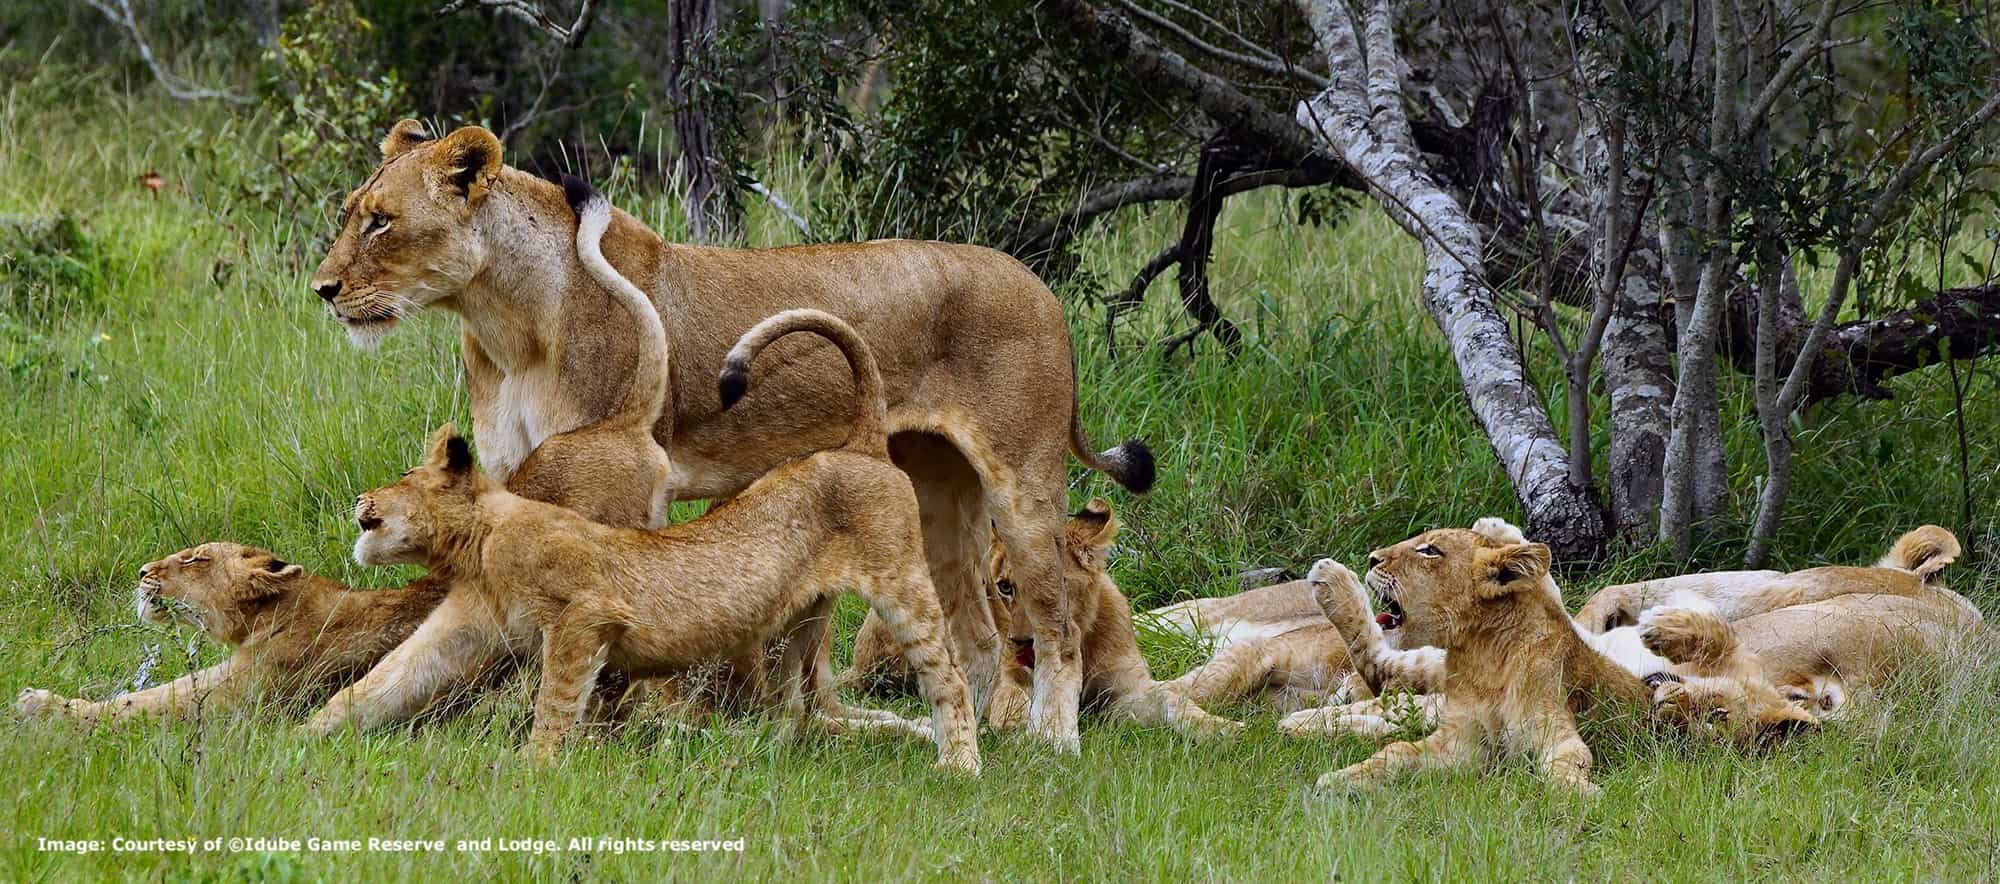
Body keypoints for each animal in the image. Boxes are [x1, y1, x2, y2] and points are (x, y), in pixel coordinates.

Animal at [319, 310, 981, 773]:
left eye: (405, 477)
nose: (360, 500)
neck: (478, 545)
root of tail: (863, 444)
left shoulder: (587, 612)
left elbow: (556, 701)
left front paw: (534, 769)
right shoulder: (466, 629)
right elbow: (382, 685)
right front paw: (303, 740)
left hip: (900, 579)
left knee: (949, 675)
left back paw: (960, 767)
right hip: (800, 624)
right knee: (802, 707)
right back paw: (759, 746)